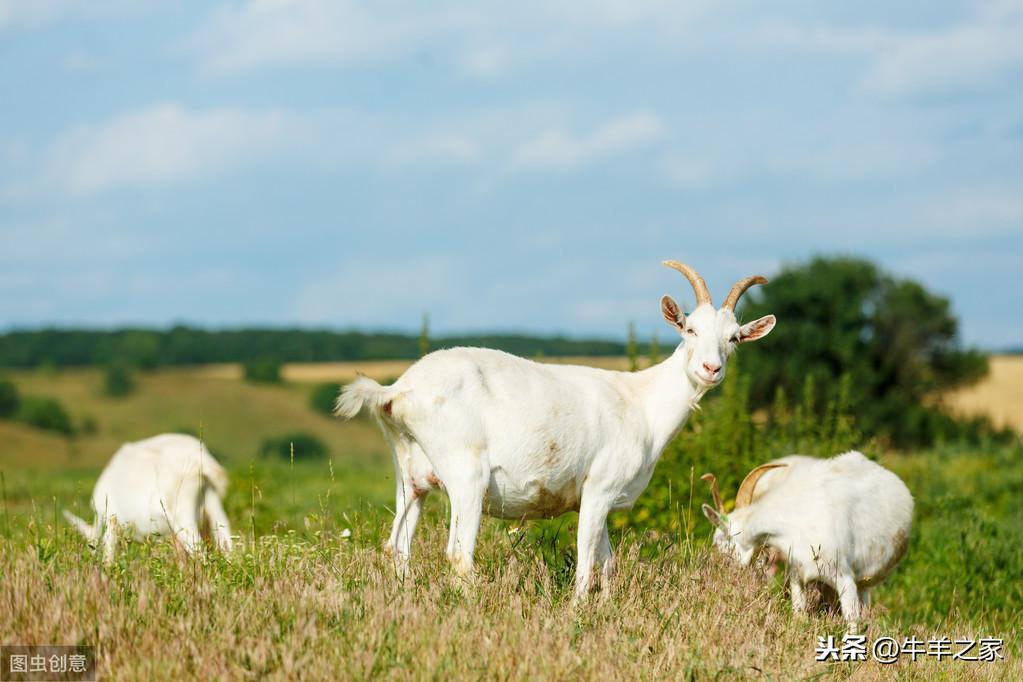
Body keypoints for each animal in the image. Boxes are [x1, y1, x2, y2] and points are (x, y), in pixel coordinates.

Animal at [63, 435, 234, 564]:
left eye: (90, 546)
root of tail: (201, 461)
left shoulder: (112, 522)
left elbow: (109, 555)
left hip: (182, 513)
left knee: (200, 553)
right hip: (213, 503)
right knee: (226, 544)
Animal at [335, 258, 773, 601]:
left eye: (734, 338)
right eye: (690, 329)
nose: (711, 369)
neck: (641, 402)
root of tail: (399, 389)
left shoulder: (596, 498)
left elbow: (608, 563)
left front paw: (607, 607)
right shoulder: (598, 490)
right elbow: (587, 561)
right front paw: (578, 610)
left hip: (411, 476)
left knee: (398, 547)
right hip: (466, 475)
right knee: (459, 554)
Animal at [703, 449, 912, 633]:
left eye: (718, 541)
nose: (722, 574)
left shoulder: (845, 578)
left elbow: (852, 623)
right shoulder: (797, 576)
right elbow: (799, 614)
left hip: (863, 582)